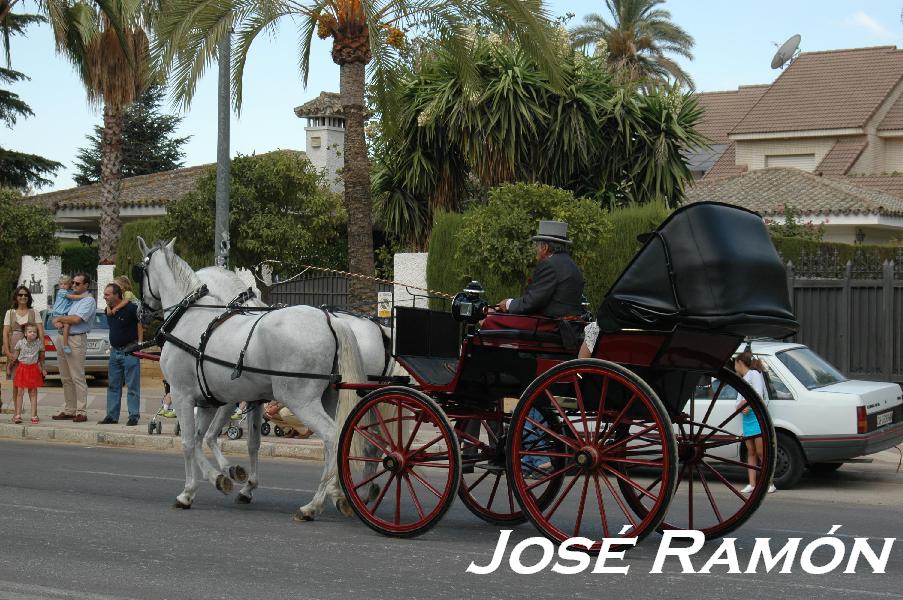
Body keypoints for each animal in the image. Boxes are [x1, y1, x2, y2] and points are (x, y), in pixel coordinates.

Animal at [137, 239, 368, 520]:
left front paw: (188, 491)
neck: (191, 317)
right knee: (340, 439)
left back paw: (314, 504)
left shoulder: (183, 396)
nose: (140, 312)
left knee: (333, 438)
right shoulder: (210, 401)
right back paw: (337, 493)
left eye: (140, 272)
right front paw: (222, 478)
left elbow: (189, 442)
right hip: (329, 399)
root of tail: (330, 320)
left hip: (301, 401)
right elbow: (212, 439)